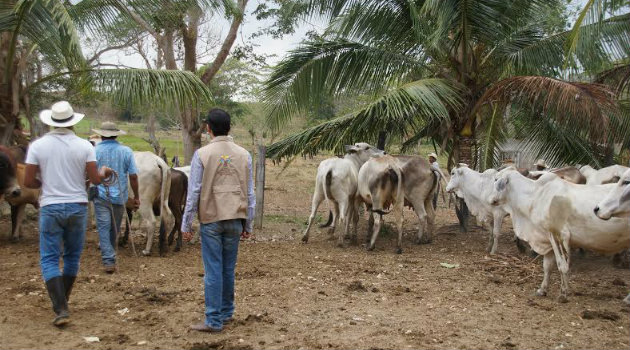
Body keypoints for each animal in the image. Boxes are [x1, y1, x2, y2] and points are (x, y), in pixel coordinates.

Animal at [494, 170, 630, 300]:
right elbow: (547, 266)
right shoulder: (547, 237)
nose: (491, 200)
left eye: (496, 179)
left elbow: (562, 266)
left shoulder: (558, 235)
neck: (536, 196)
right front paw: (542, 290)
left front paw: (563, 294)